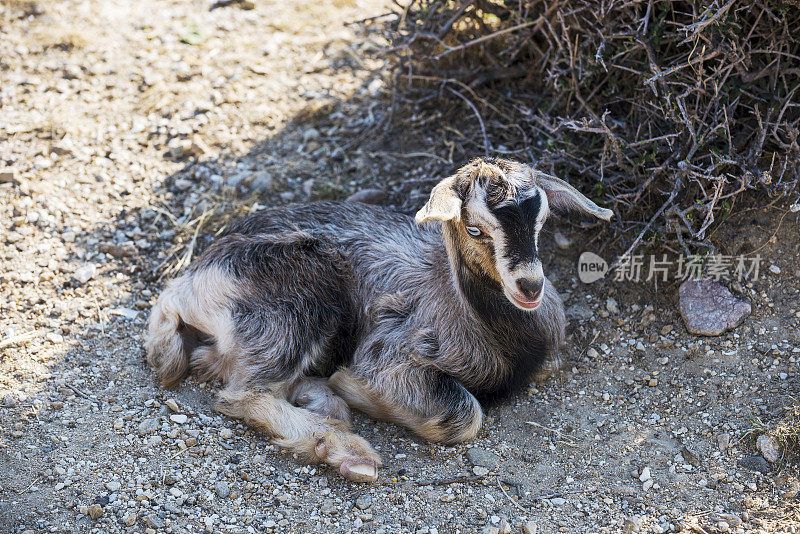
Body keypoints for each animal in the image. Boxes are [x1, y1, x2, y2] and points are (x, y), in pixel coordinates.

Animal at [147, 157, 612, 484]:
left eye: (542, 221)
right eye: (475, 229)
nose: (530, 286)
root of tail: (184, 286)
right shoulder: (391, 353)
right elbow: (465, 416)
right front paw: (353, 389)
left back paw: (322, 402)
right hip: (297, 304)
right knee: (242, 394)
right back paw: (346, 448)